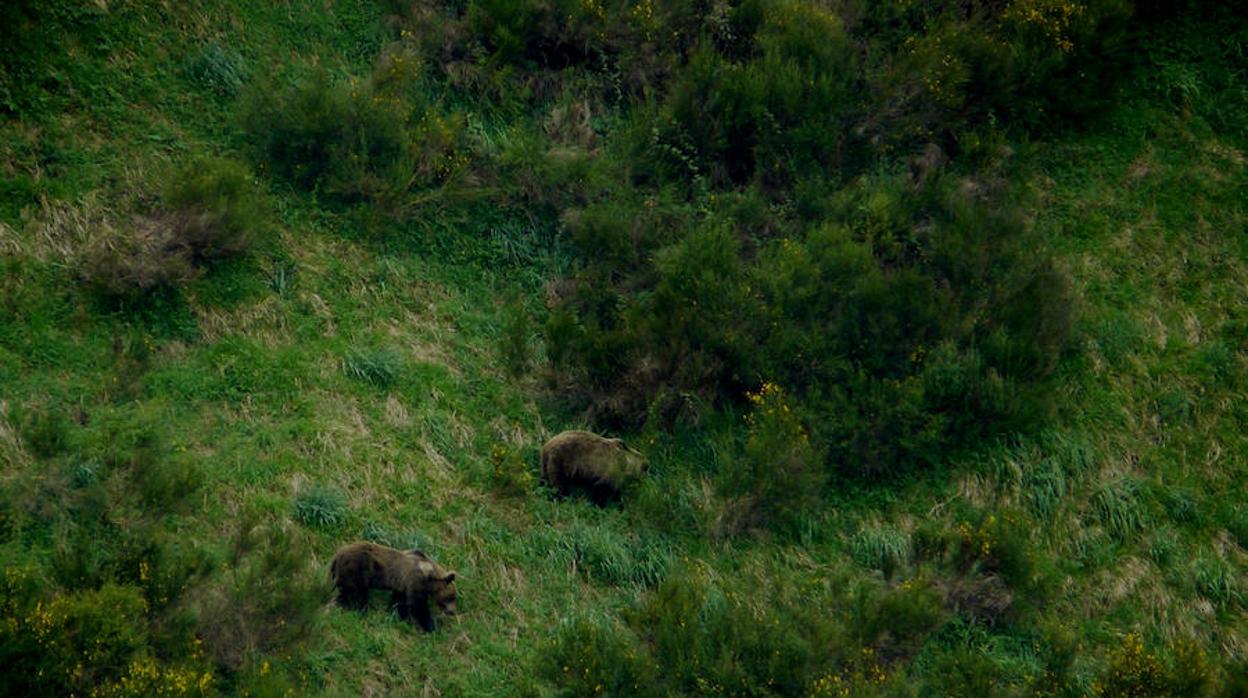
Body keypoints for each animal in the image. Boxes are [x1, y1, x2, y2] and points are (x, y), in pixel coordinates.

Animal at [329, 541, 458, 632]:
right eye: (452, 596)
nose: (452, 611)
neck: (429, 576)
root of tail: (336, 556)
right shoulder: (415, 580)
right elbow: (417, 605)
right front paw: (431, 626)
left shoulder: (402, 584)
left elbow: (398, 602)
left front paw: (397, 615)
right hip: (355, 570)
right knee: (355, 594)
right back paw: (357, 609)